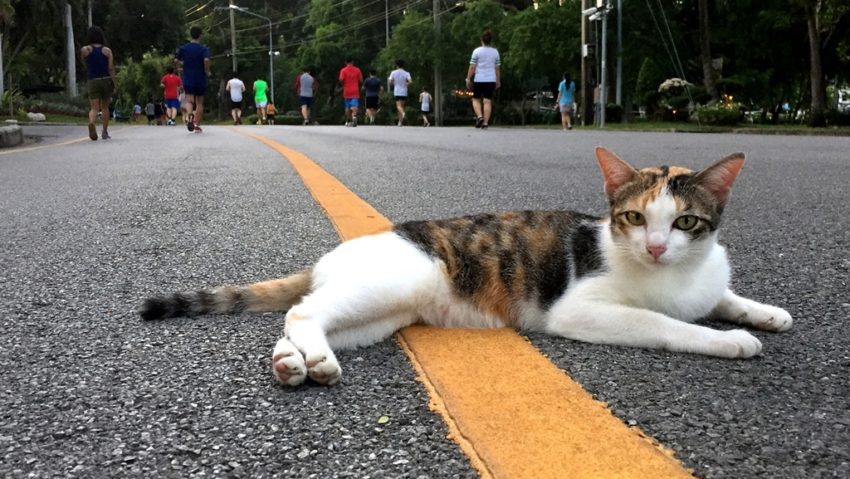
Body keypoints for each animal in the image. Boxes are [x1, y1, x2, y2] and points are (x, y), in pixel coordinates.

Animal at [139, 148, 788, 388]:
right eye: (633, 217)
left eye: (685, 223)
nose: (654, 247)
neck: (677, 276)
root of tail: (334, 254)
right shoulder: (582, 309)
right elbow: (668, 324)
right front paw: (729, 340)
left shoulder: (707, 280)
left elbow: (724, 297)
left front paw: (765, 314)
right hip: (392, 283)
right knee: (301, 310)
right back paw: (312, 359)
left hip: (380, 315)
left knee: (306, 318)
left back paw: (294, 361)